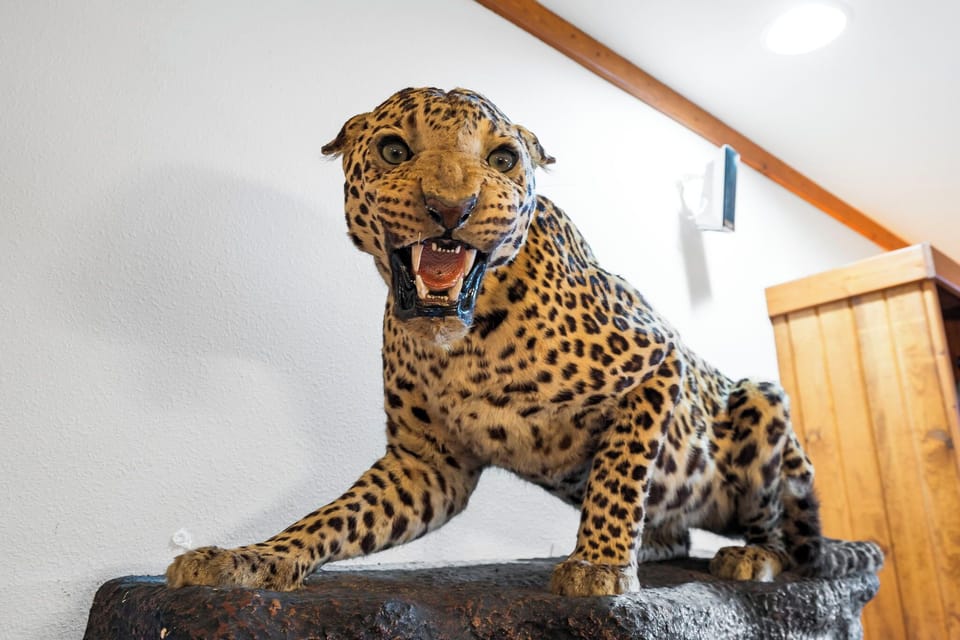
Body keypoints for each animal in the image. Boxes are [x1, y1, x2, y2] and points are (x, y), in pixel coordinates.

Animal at [166, 87, 883, 596]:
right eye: (395, 150)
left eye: (503, 159)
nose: (449, 209)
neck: (465, 341)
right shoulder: (428, 464)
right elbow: (332, 517)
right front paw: (247, 557)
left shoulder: (659, 359)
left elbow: (621, 470)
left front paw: (599, 563)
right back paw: (657, 542)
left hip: (761, 403)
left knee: (787, 538)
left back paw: (750, 555)